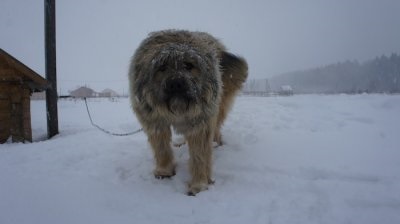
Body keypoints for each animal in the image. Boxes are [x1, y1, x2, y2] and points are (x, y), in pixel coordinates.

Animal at [129, 29, 247, 194]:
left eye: (188, 65)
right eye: (162, 68)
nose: (176, 83)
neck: (177, 108)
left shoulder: (201, 121)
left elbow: (199, 153)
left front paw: (199, 183)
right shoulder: (154, 120)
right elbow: (161, 146)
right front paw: (164, 170)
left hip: (219, 102)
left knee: (216, 126)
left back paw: (216, 143)